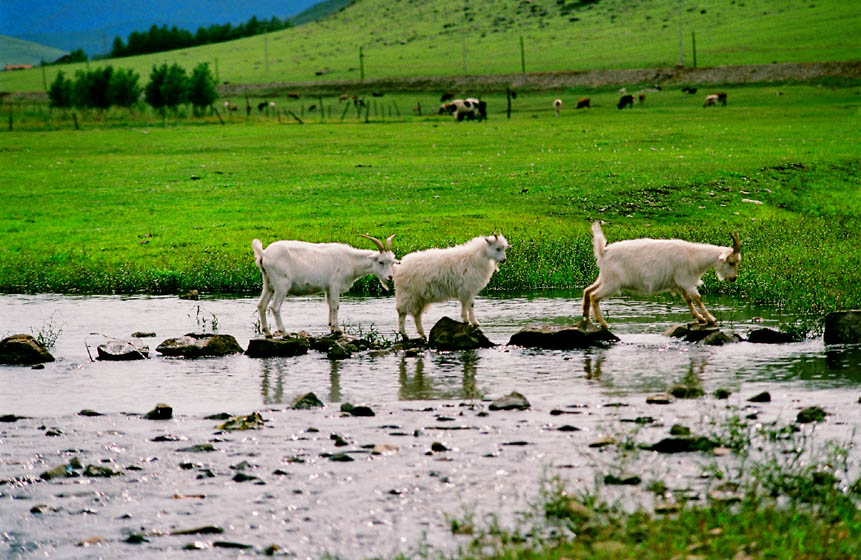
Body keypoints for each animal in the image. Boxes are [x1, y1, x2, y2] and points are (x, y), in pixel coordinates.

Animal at [250, 233, 394, 336]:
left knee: (261, 305)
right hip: (281, 284)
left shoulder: (328, 288)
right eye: (381, 262)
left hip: (268, 283)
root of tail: (263, 254)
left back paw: (267, 333)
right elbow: (336, 305)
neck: (351, 261)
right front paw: (338, 329)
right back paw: (285, 333)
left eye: (392, 262)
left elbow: (330, 304)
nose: (390, 277)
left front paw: (331, 327)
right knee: (274, 307)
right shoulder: (335, 284)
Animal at [580, 222, 744, 328]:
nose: (734, 278)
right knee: (594, 296)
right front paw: (710, 318)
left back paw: (586, 318)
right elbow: (697, 298)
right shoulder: (685, 280)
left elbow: (688, 300)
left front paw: (699, 318)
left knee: (587, 291)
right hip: (612, 283)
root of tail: (603, 251)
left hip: (603, 278)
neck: (694, 256)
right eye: (731, 262)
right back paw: (603, 323)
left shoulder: (679, 284)